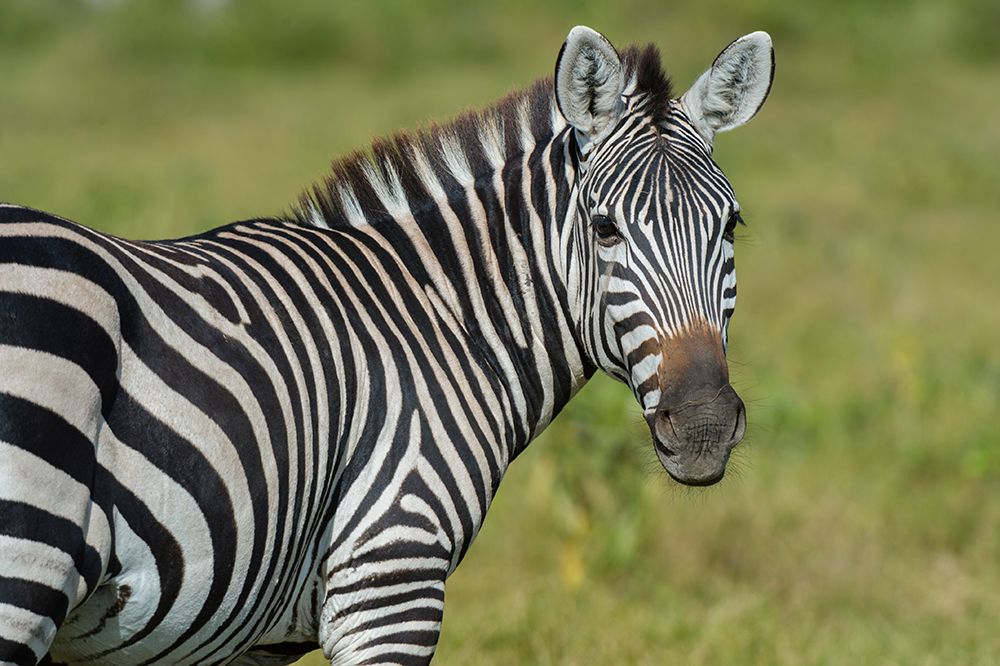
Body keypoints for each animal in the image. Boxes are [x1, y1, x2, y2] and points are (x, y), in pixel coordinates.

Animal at [0, 25, 774, 665]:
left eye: (731, 226)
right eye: (605, 228)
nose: (704, 428)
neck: (439, 317)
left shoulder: (257, 638)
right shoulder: (391, 577)